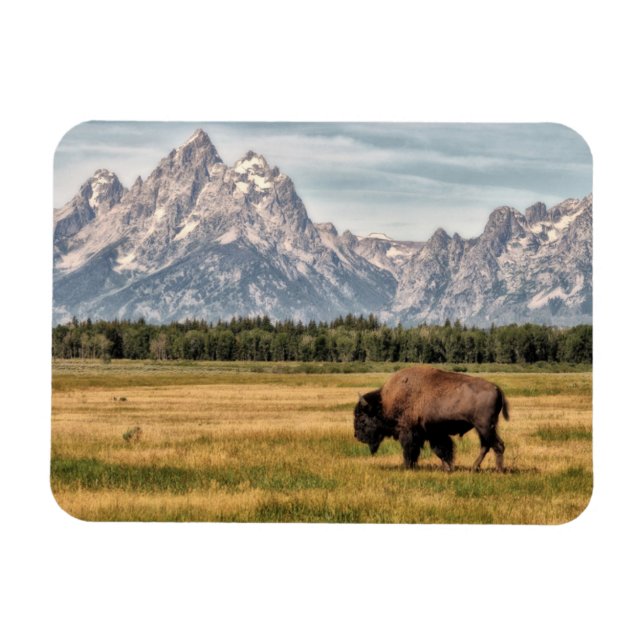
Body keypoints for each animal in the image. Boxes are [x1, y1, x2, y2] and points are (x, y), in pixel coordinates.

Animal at [353, 366, 509, 472]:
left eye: (362, 419)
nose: (357, 436)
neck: (384, 403)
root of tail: (496, 388)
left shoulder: (409, 432)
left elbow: (411, 450)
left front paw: (407, 466)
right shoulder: (434, 433)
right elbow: (442, 451)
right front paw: (448, 468)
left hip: (485, 427)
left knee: (497, 445)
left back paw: (499, 470)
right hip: (482, 429)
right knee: (486, 446)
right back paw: (474, 468)